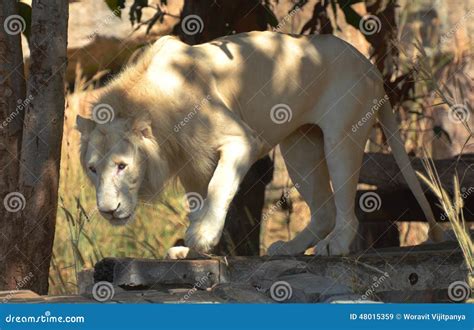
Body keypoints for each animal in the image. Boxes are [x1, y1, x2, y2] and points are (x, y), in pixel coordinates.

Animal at [76, 31, 442, 258]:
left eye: (122, 166)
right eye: (92, 169)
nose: (107, 210)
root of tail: (371, 67)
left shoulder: (240, 139)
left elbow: (219, 187)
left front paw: (201, 237)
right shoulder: (190, 162)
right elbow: (198, 203)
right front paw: (193, 252)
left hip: (342, 136)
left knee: (345, 210)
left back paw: (335, 245)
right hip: (299, 149)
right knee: (323, 210)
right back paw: (291, 248)